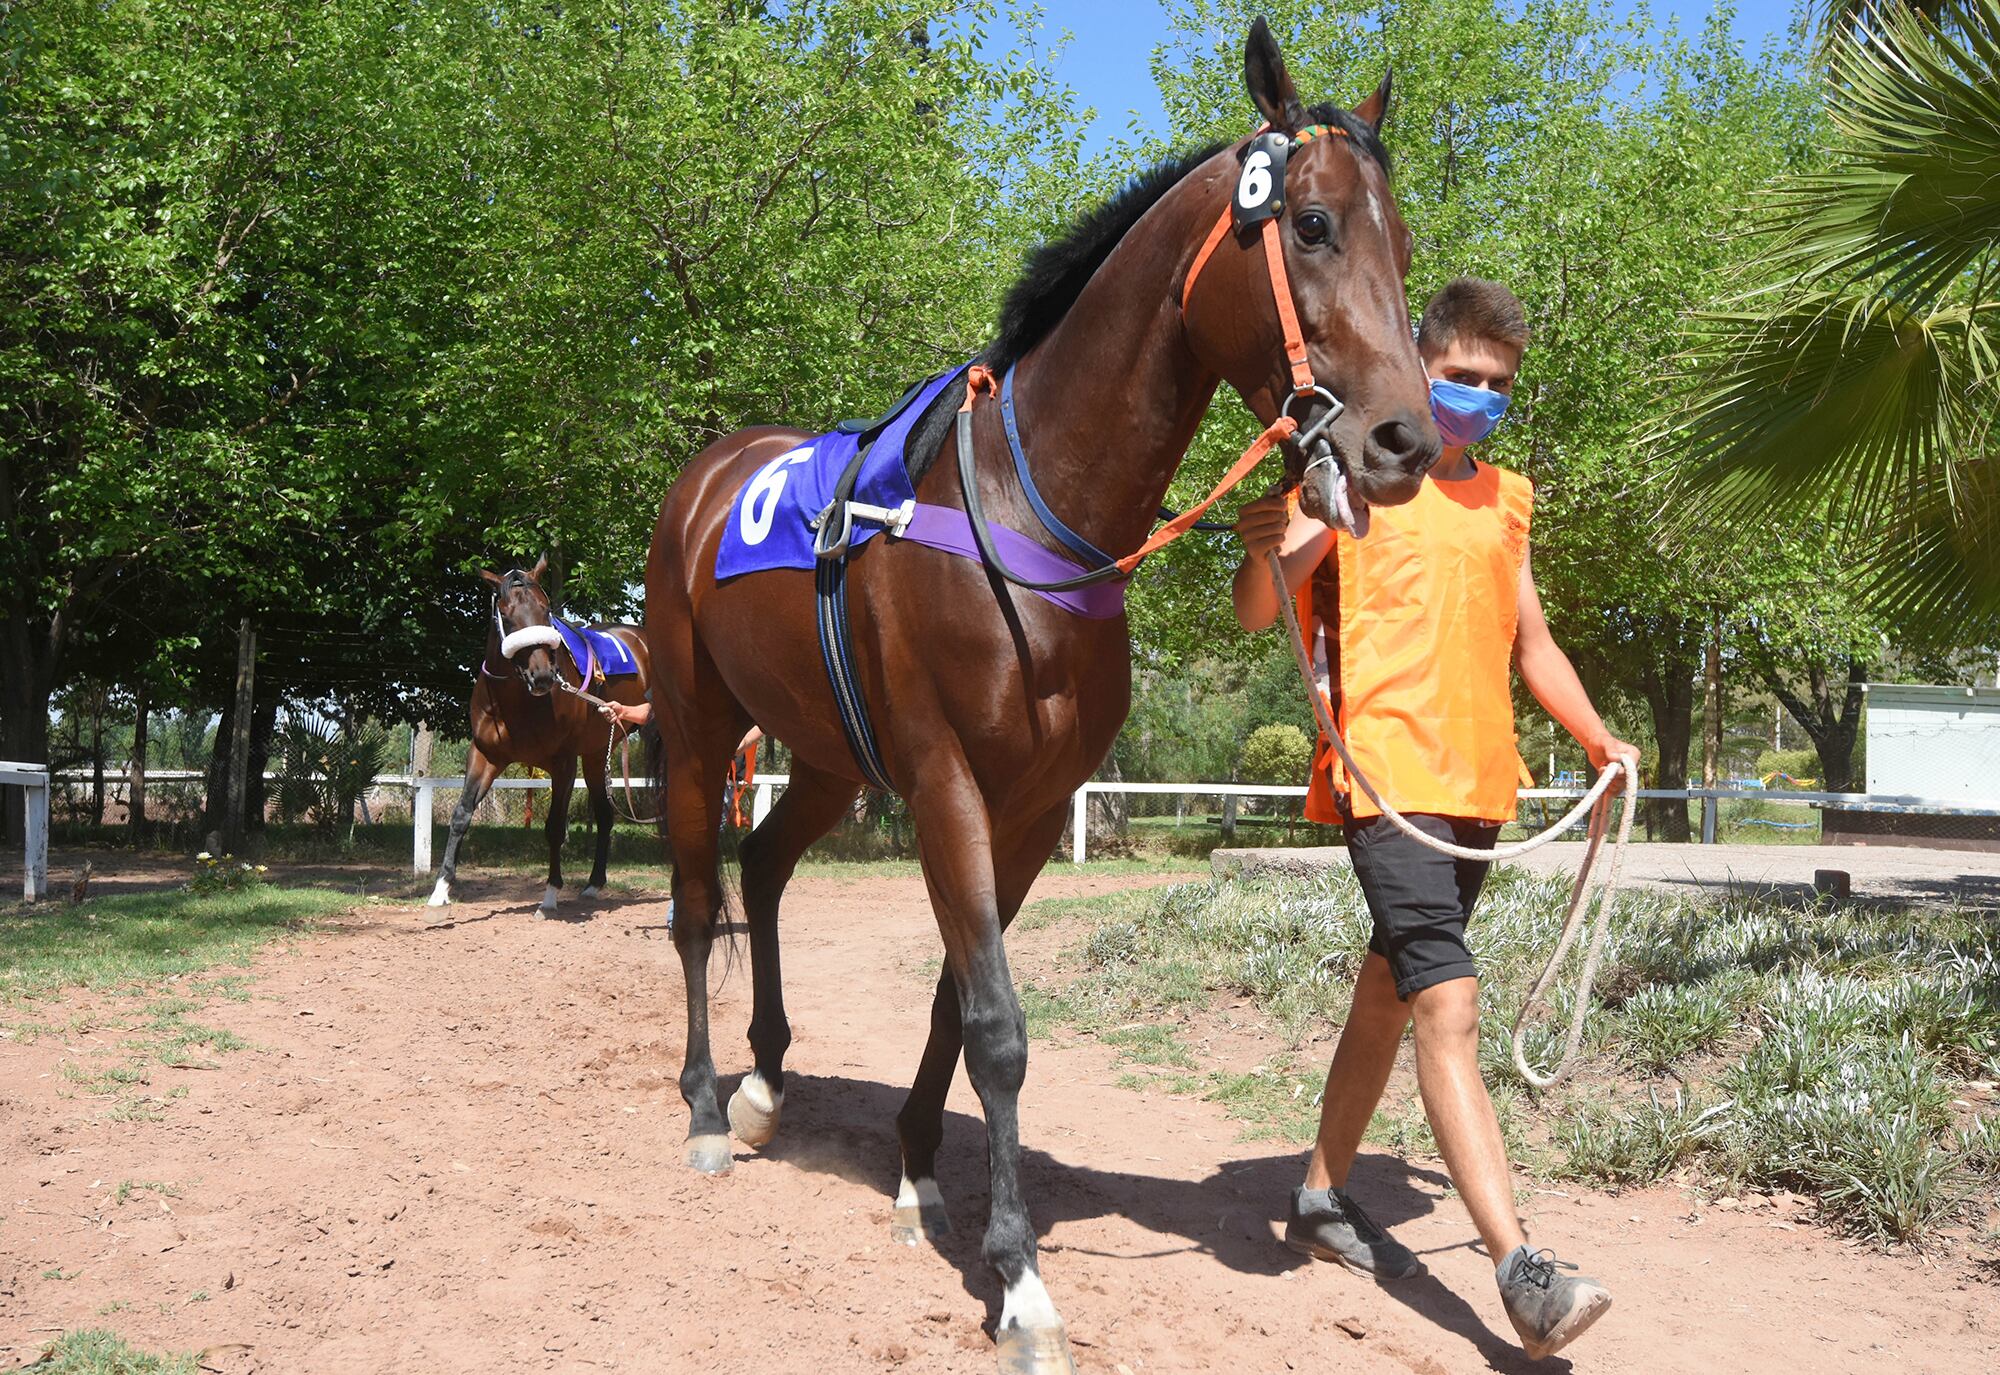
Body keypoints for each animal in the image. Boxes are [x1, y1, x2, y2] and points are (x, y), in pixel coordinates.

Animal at [426, 551, 652, 919]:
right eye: (505, 613)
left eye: (546, 610)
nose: (544, 676)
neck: (514, 700)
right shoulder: (485, 754)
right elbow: (461, 814)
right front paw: (440, 890)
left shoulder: (563, 763)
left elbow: (555, 827)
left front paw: (550, 894)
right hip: (595, 754)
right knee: (605, 816)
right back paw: (593, 884)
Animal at [640, 24, 1440, 1375]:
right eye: (1314, 223)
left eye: (1406, 246)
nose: (1405, 441)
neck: (1030, 513)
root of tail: (707, 475)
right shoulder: (949, 785)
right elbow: (1000, 1025)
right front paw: (1015, 1278)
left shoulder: (1024, 803)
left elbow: (956, 1003)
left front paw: (917, 1175)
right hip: (699, 729)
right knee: (698, 905)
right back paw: (704, 1106)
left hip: (828, 756)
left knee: (763, 865)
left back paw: (762, 1083)